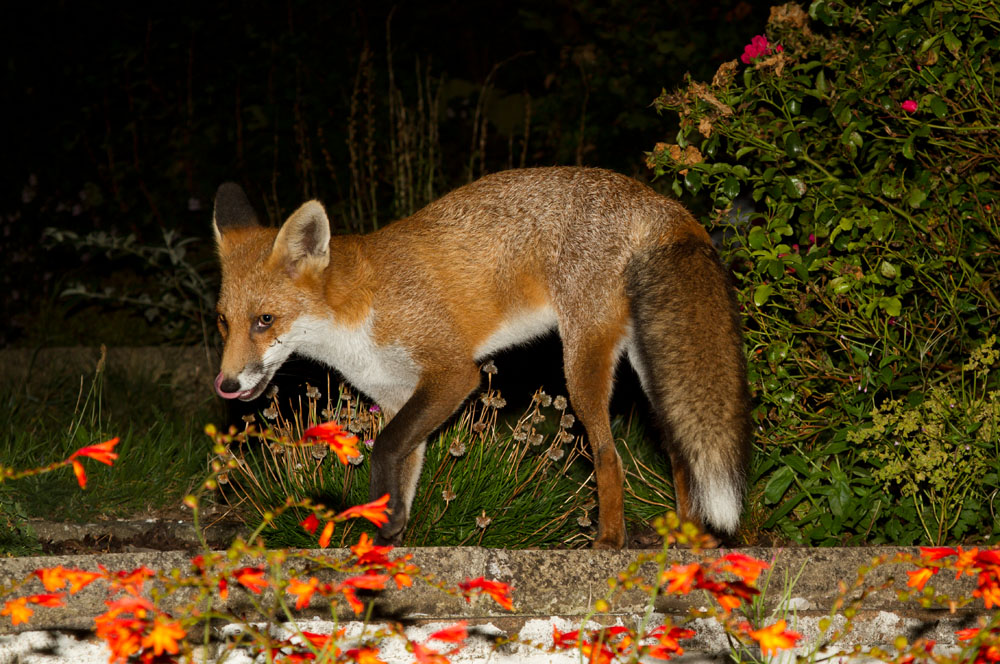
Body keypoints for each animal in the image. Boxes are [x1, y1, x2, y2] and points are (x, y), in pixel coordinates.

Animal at [211, 166, 751, 549]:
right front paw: (390, 538)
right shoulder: (399, 396)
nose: (227, 386)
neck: (354, 320)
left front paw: (385, 526)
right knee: (680, 455)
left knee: (608, 456)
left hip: (580, 365)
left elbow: (385, 447)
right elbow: (403, 470)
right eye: (223, 322)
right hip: (651, 367)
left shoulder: (453, 373)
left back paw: (610, 540)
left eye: (264, 320)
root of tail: (652, 198)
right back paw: (685, 539)